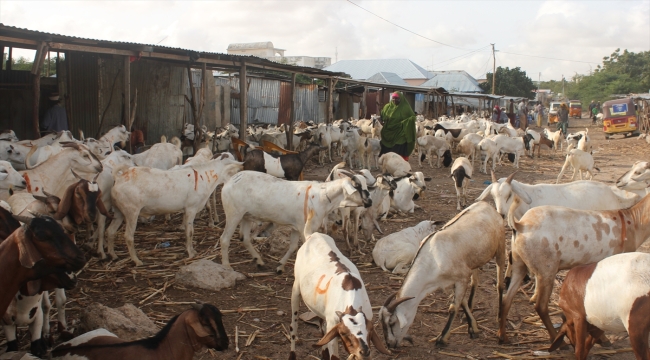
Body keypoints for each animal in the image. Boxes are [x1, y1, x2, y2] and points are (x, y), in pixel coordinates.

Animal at [105, 156, 242, 266]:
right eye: (233, 171)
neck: (206, 176)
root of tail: (119, 177)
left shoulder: (187, 209)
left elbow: (186, 230)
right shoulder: (191, 208)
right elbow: (190, 232)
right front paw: (191, 253)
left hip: (119, 211)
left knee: (110, 231)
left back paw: (113, 255)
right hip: (131, 211)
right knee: (128, 236)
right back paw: (137, 261)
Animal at [218, 172, 370, 272]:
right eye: (357, 186)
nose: (369, 202)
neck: (322, 197)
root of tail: (230, 180)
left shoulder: (297, 227)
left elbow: (292, 247)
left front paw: (280, 266)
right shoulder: (305, 229)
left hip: (246, 216)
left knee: (245, 239)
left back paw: (259, 261)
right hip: (233, 214)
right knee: (224, 239)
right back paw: (226, 266)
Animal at [374, 201, 506, 348]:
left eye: (391, 323)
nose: (390, 344)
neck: (434, 257)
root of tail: (486, 205)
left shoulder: (462, 277)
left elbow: (453, 307)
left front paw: (442, 338)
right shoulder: (451, 281)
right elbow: (461, 302)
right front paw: (473, 328)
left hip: (500, 247)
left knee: (500, 284)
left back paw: (500, 316)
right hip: (475, 259)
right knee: (475, 281)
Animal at [498, 194, 650, 344]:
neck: (633, 221)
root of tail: (521, 225)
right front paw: (603, 338)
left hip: (519, 264)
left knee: (506, 300)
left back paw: (503, 336)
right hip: (546, 270)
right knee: (540, 306)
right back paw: (557, 340)